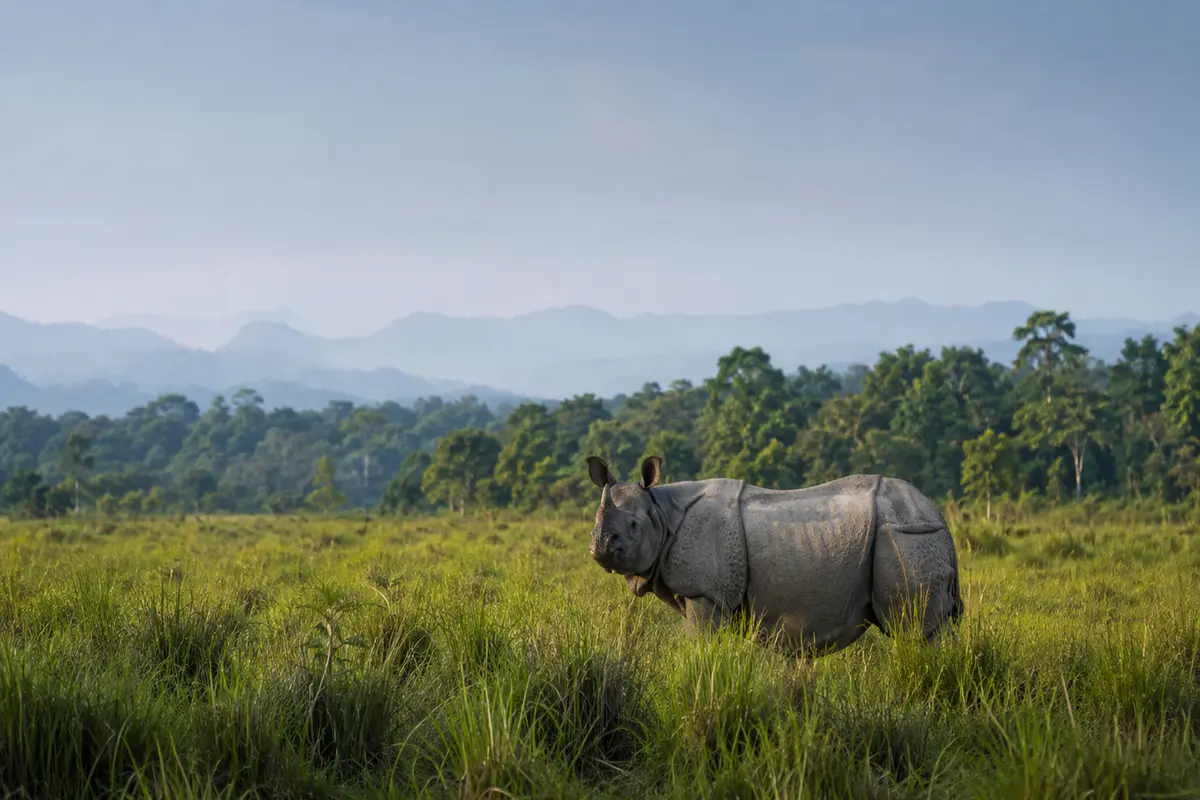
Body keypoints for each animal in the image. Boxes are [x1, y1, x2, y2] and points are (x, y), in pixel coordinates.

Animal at [586, 455, 963, 656]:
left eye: (633, 526)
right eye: (594, 520)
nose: (599, 547)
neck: (662, 511)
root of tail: (940, 518)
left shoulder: (705, 592)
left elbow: (700, 642)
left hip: (905, 536)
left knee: (918, 634)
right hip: (911, 534)